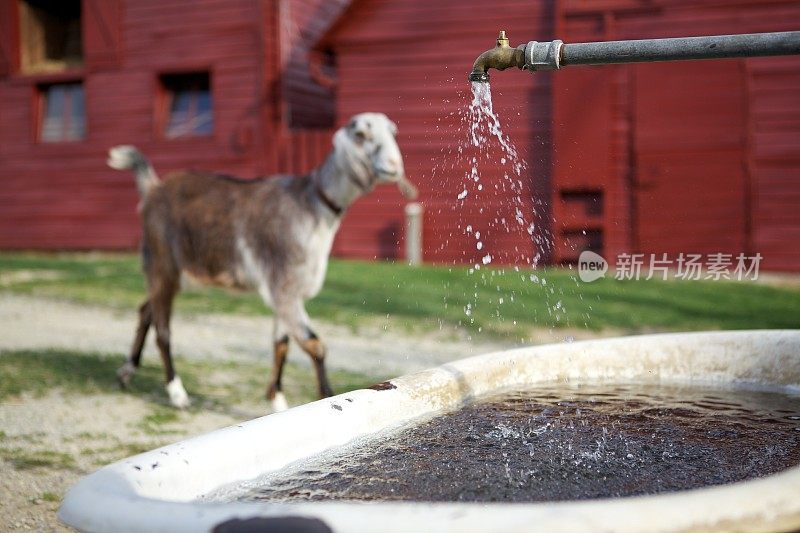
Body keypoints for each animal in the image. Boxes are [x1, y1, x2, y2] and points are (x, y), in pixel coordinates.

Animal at [108, 112, 418, 410]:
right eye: (361, 133)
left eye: (392, 132)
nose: (393, 165)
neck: (311, 205)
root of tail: (153, 188)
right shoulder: (284, 287)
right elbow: (316, 345)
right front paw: (326, 398)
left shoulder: (287, 293)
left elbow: (281, 344)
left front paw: (277, 400)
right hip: (162, 261)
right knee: (163, 330)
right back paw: (177, 393)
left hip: (175, 273)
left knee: (146, 311)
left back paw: (126, 373)